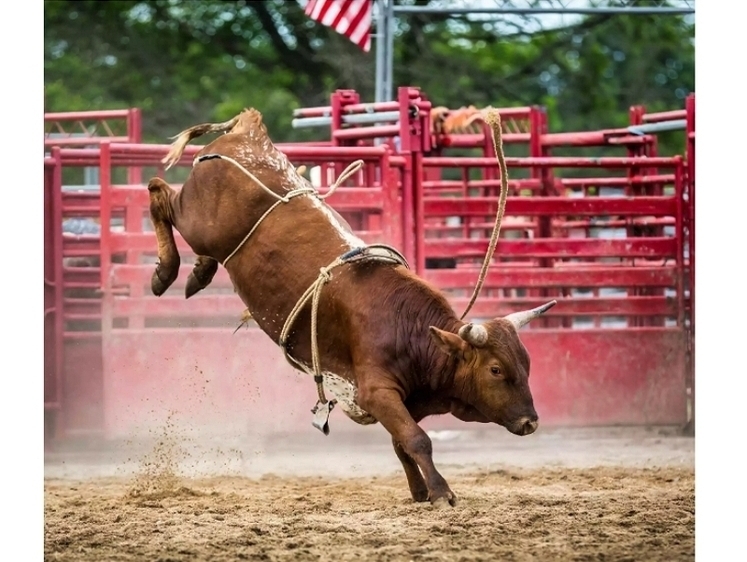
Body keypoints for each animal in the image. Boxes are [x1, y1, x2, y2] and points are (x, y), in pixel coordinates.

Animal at [148, 107, 556, 506]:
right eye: (496, 370)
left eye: (526, 363)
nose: (531, 422)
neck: (408, 328)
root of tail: (249, 131)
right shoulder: (376, 392)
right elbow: (417, 439)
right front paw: (442, 493)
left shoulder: (408, 399)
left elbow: (402, 443)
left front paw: (419, 492)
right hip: (196, 220)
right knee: (158, 193)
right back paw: (166, 272)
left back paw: (198, 273)